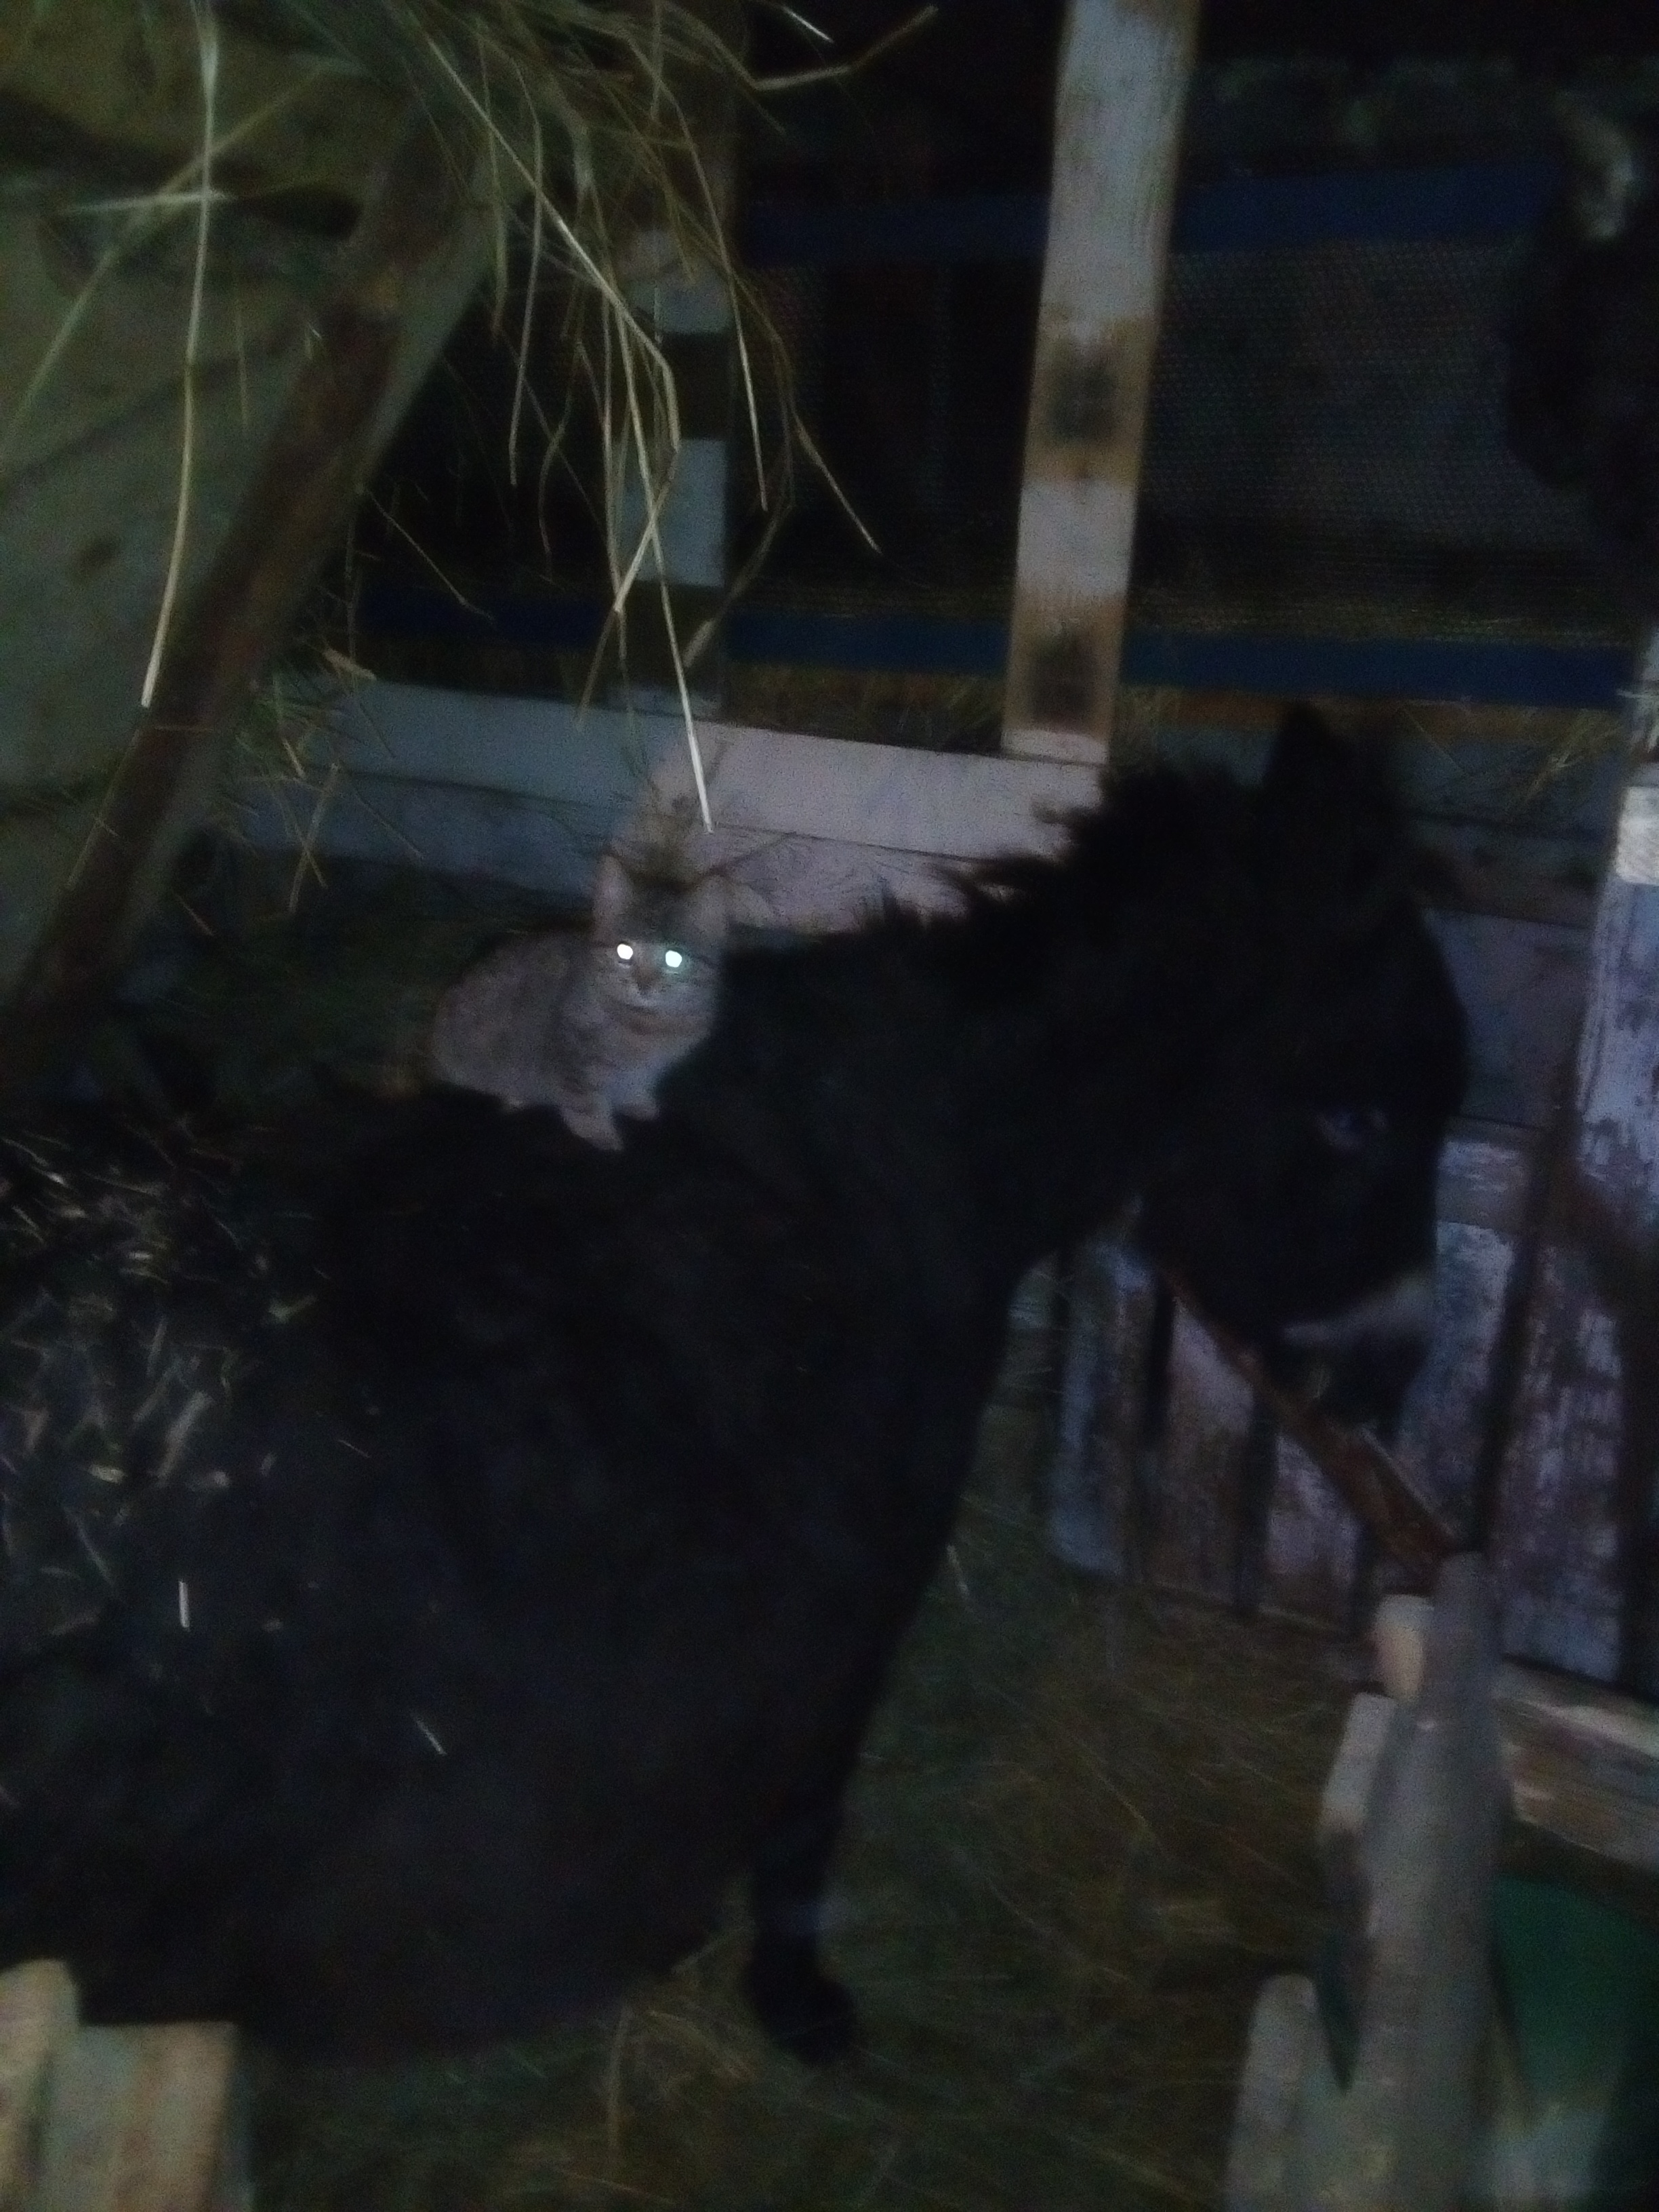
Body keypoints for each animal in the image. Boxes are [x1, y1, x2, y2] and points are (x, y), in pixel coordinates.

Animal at [0, 704, 1467, 2061]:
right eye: (1357, 1117)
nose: (1395, 1377)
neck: (902, 1147)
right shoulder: (860, 1594)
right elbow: (809, 1816)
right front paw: (798, 1997)